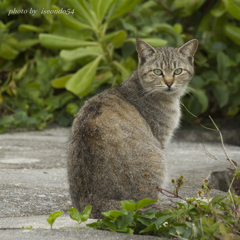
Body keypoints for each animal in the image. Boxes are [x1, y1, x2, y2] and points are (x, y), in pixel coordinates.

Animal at [66, 39, 198, 218]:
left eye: (178, 71)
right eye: (157, 72)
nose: (169, 83)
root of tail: (95, 202)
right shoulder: (160, 138)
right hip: (156, 160)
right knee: (147, 203)